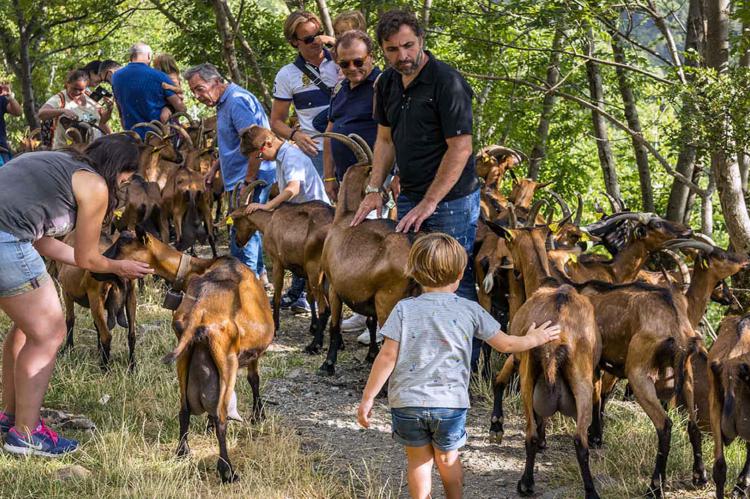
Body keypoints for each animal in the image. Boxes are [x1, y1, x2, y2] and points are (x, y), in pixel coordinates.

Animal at [100, 229, 274, 484]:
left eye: (121, 247)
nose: (97, 266)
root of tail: (199, 313)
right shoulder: (252, 355)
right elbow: (254, 379)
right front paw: (258, 415)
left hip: (183, 356)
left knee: (183, 409)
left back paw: (182, 452)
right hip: (226, 360)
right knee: (221, 416)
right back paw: (227, 470)